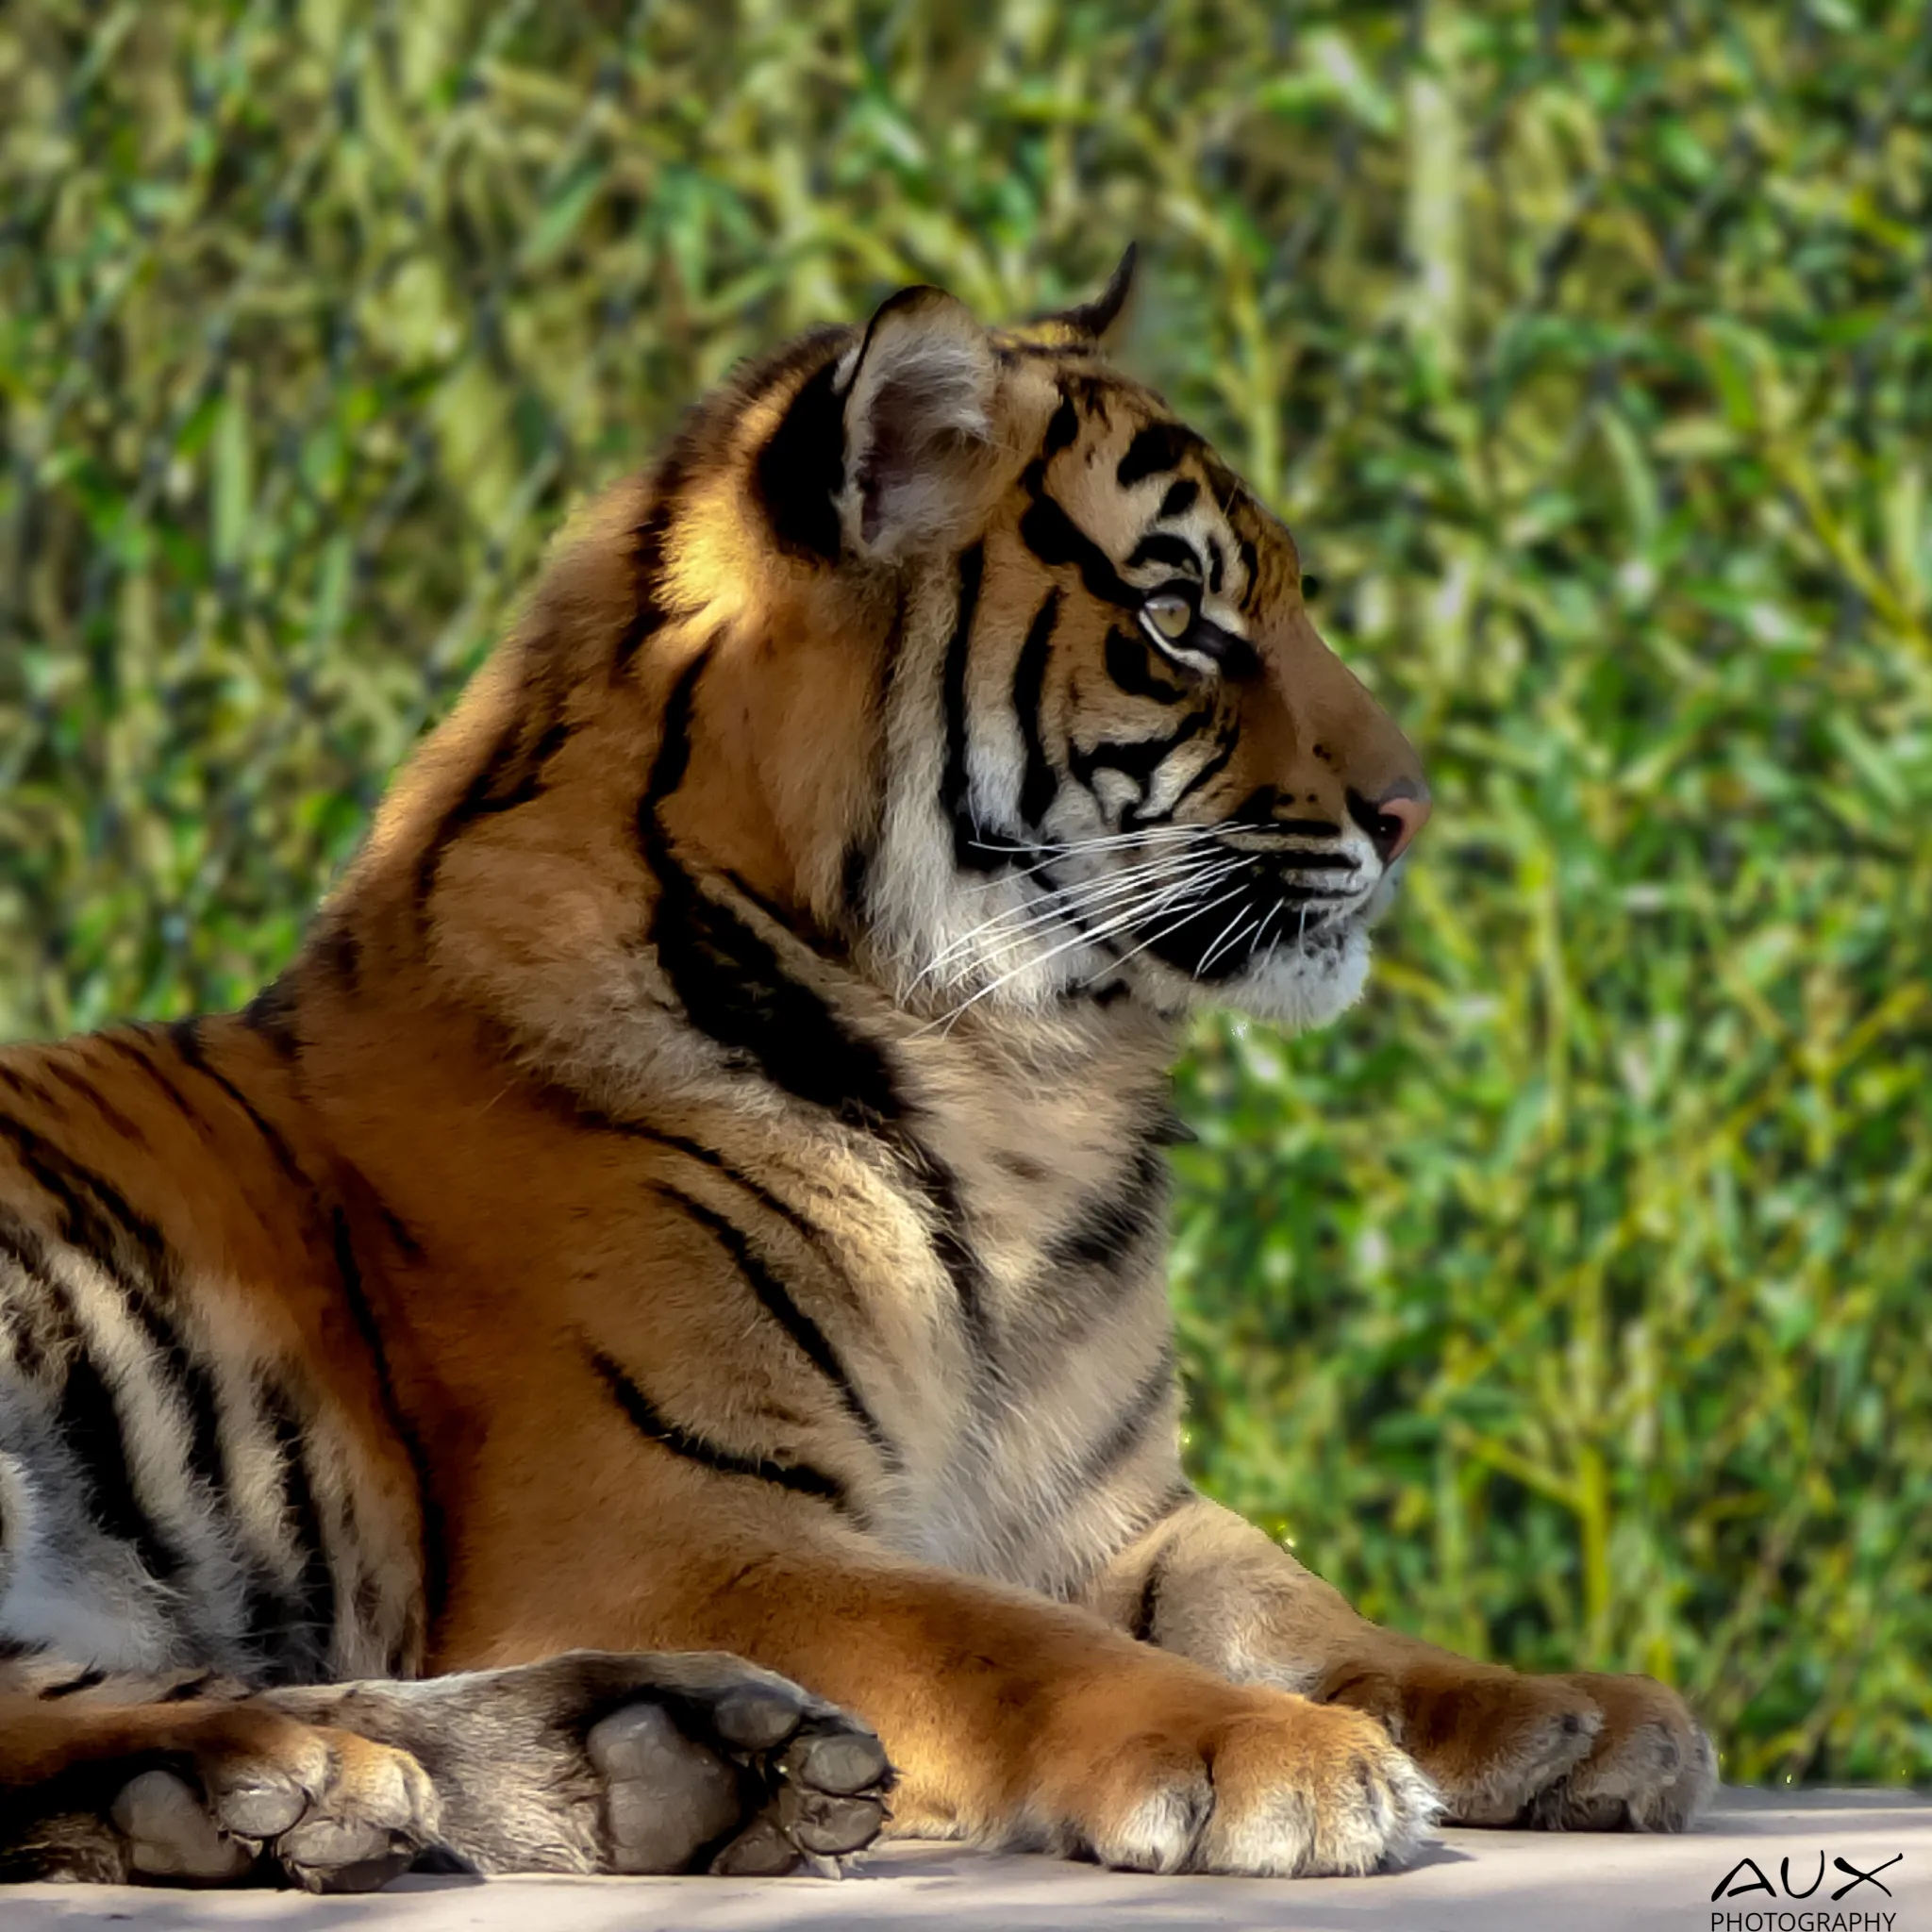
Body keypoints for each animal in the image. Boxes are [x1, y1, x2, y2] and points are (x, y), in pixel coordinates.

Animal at [0, 251, 1715, 1892]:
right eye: (1180, 623)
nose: (1412, 810)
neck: (1018, 1094)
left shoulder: (1106, 1504)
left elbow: (1294, 1597)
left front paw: (1566, 1712)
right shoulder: (659, 1524)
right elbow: (997, 1638)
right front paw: (1268, 1754)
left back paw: (651, 1751)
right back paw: (284, 1780)